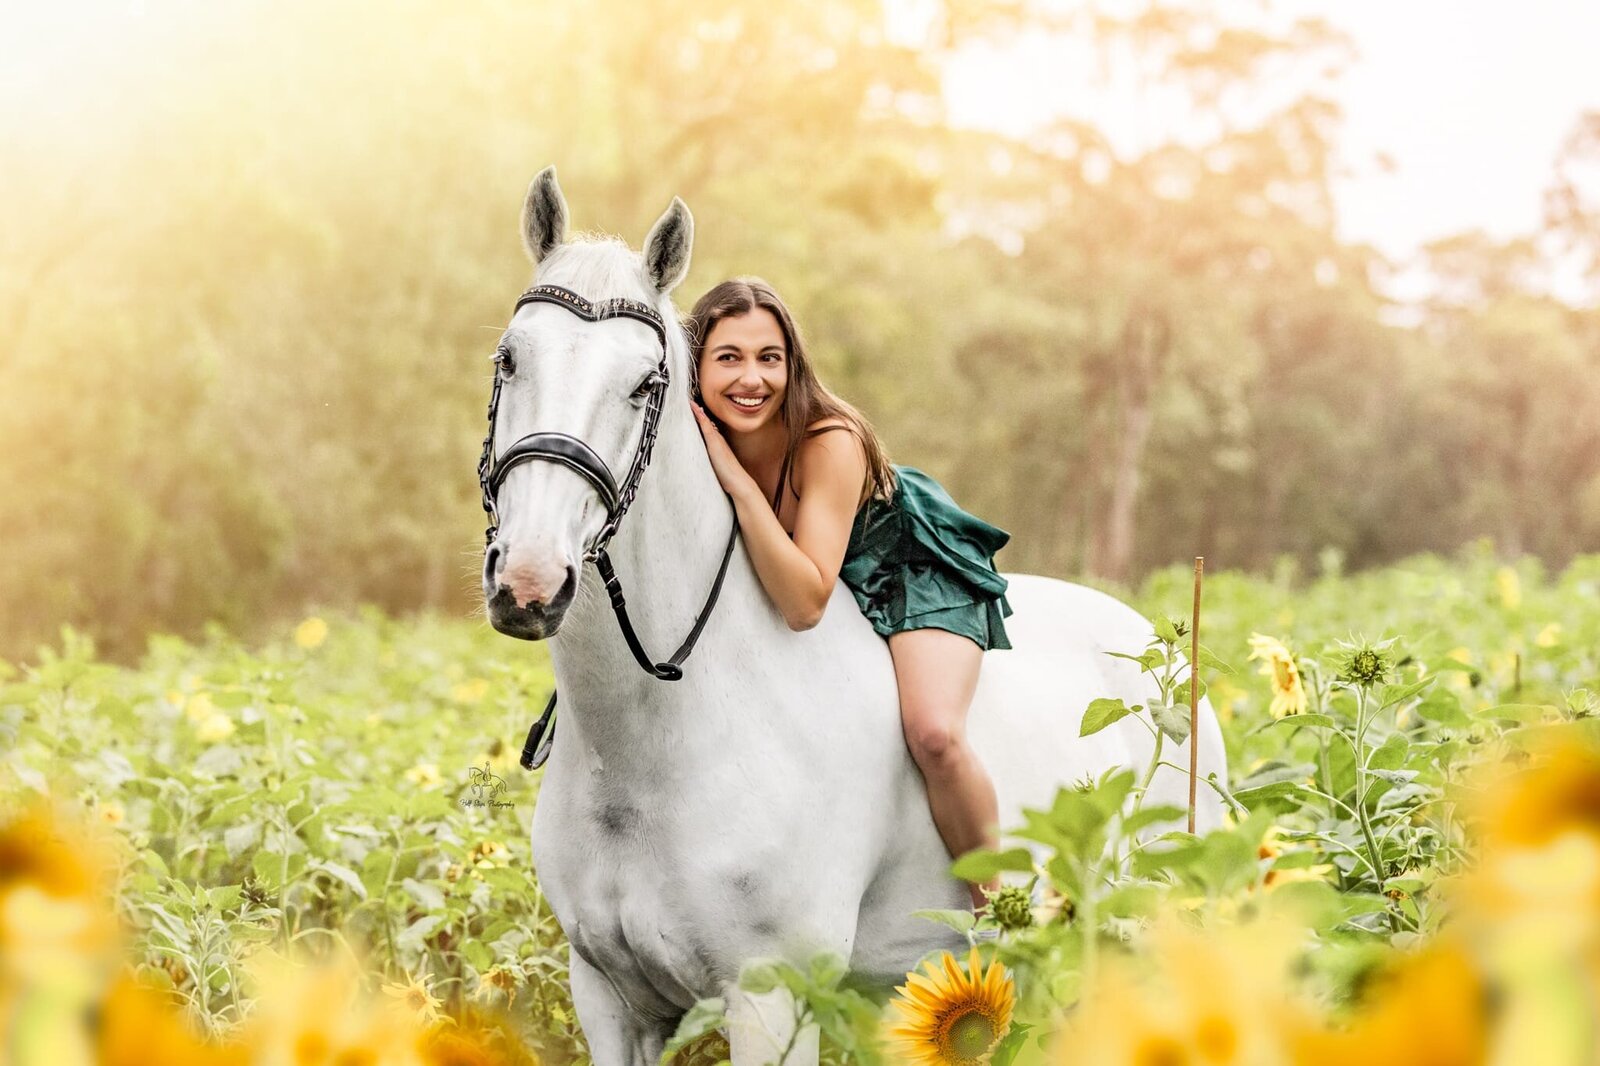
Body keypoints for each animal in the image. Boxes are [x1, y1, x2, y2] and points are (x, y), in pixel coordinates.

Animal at [473, 170, 1222, 1056]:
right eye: (510, 358)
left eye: (645, 385)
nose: (529, 581)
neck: (659, 740)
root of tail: (1159, 656)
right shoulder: (610, 1003)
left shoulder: (771, 998)